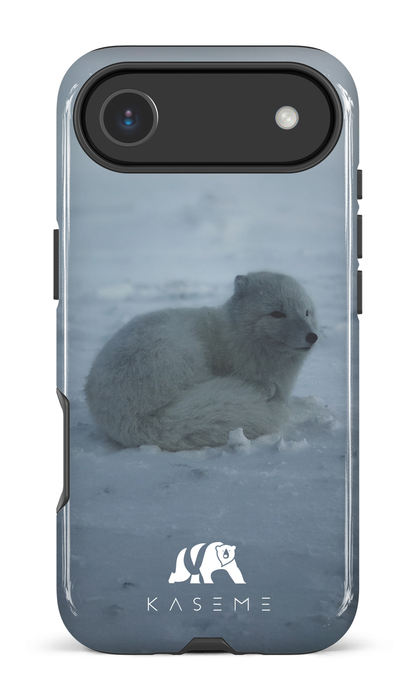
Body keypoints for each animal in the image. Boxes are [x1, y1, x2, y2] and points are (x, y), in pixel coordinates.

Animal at [85, 272, 318, 451]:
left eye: (306, 312)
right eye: (277, 313)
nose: (312, 336)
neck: (235, 337)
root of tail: (132, 420)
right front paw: (265, 389)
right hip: (180, 351)